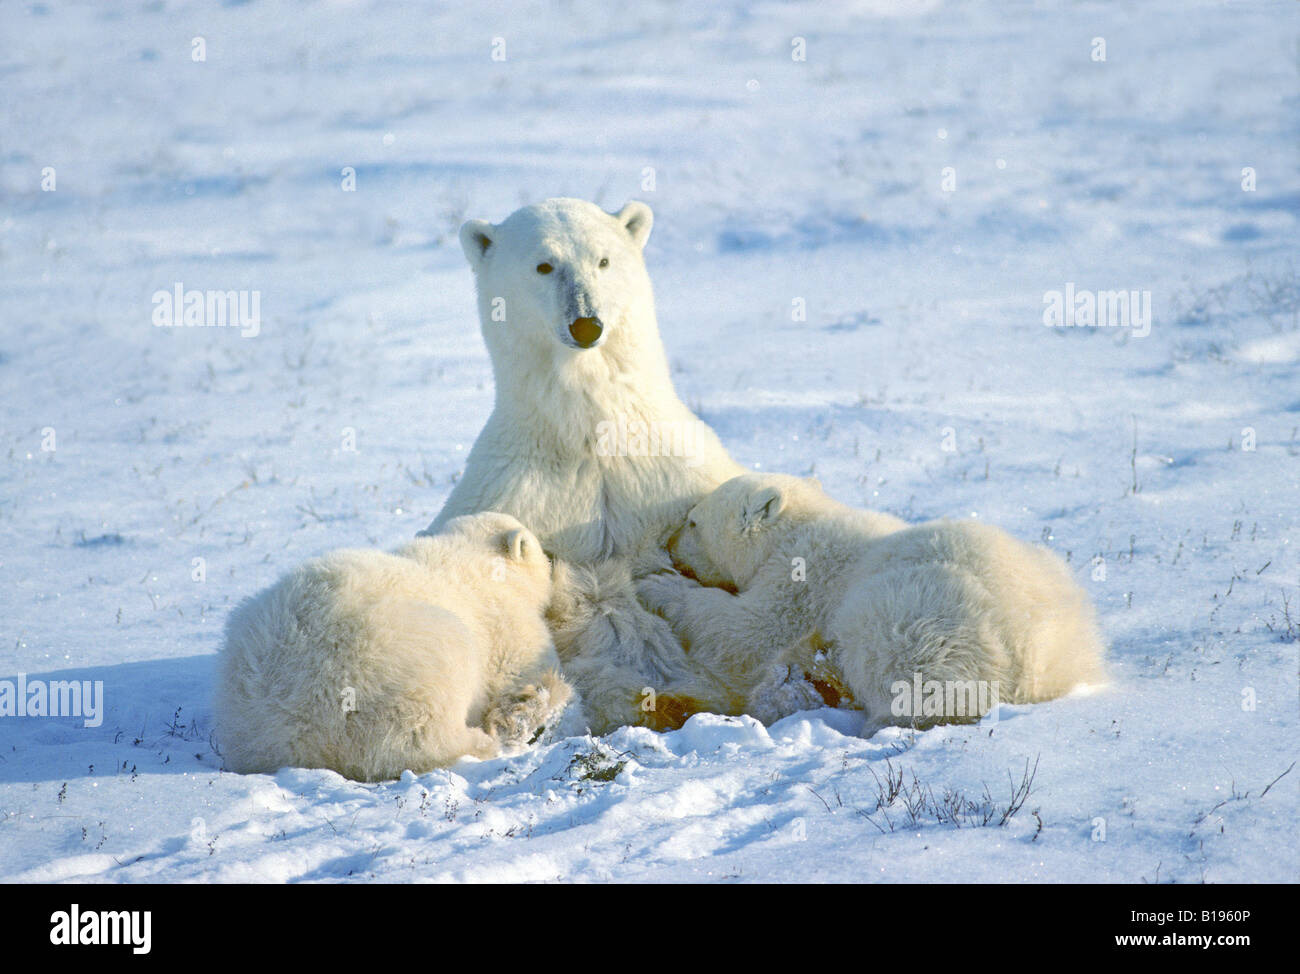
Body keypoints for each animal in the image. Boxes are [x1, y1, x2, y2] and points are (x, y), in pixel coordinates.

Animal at [218, 512, 574, 780]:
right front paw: (530, 708)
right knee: (419, 729)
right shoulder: (503, 620)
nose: (555, 556)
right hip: (400, 661)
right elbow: (524, 666)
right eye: (539, 547)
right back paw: (478, 742)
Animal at [421, 198, 748, 728]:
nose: (586, 324)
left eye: (603, 260)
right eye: (544, 265)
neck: (591, 435)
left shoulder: (674, 476)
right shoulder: (510, 491)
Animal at [639, 470, 1107, 728]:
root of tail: (1035, 664)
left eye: (693, 521)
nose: (668, 544)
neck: (798, 527)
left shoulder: (804, 575)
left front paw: (653, 583)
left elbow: (747, 630)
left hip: (920, 614)